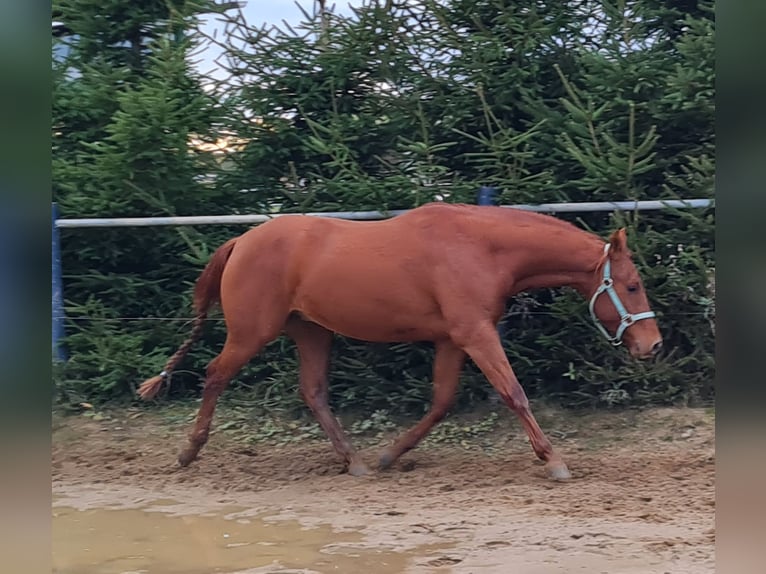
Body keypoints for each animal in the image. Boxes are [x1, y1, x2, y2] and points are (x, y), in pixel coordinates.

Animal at [138, 202, 662, 481]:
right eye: (633, 285)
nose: (653, 346)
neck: (480, 248)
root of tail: (241, 242)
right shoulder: (475, 333)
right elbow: (514, 393)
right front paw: (554, 462)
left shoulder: (453, 340)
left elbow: (441, 403)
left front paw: (390, 454)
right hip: (252, 332)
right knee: (214, 375)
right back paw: (188, 452)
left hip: (312, 331)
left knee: (313, 391)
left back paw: (355, 462)